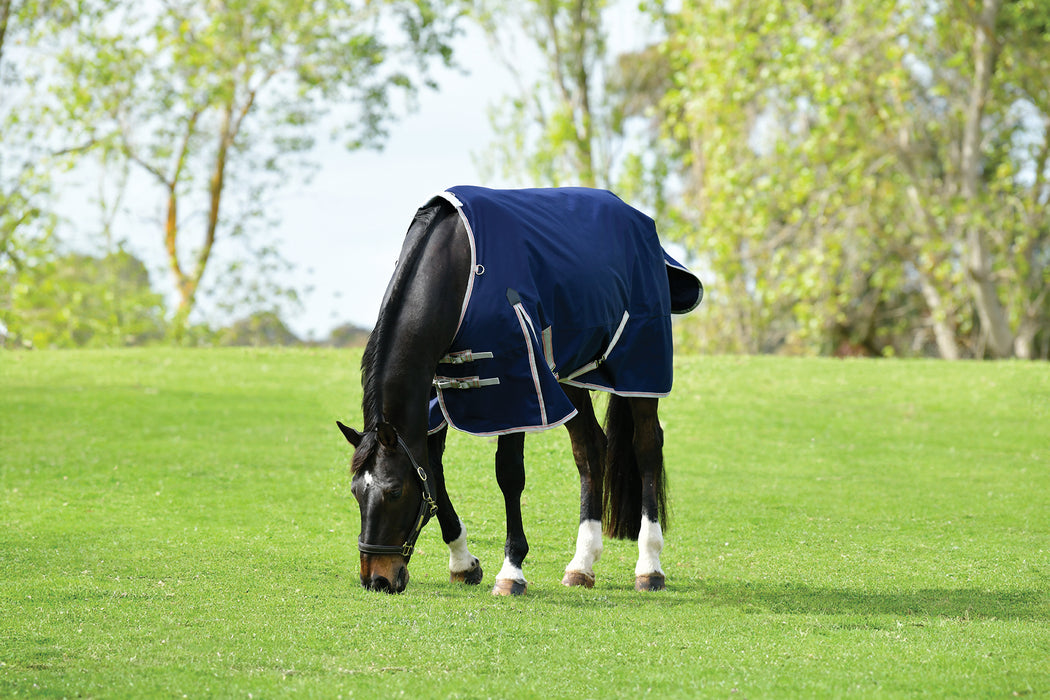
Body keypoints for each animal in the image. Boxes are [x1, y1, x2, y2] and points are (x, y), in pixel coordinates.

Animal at [336, 187, 701, 596]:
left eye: (395, 491)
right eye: (355, 491)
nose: (377, 579)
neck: (458, 268)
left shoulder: (516, 389)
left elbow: (509, 475)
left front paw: (511, 571)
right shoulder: (433, 396)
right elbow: (433, 471)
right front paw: (463, 562)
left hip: (639, 366)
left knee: (647, 447)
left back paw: (649, 566)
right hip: (567, 373)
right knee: (590, 450)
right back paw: (582, 563)